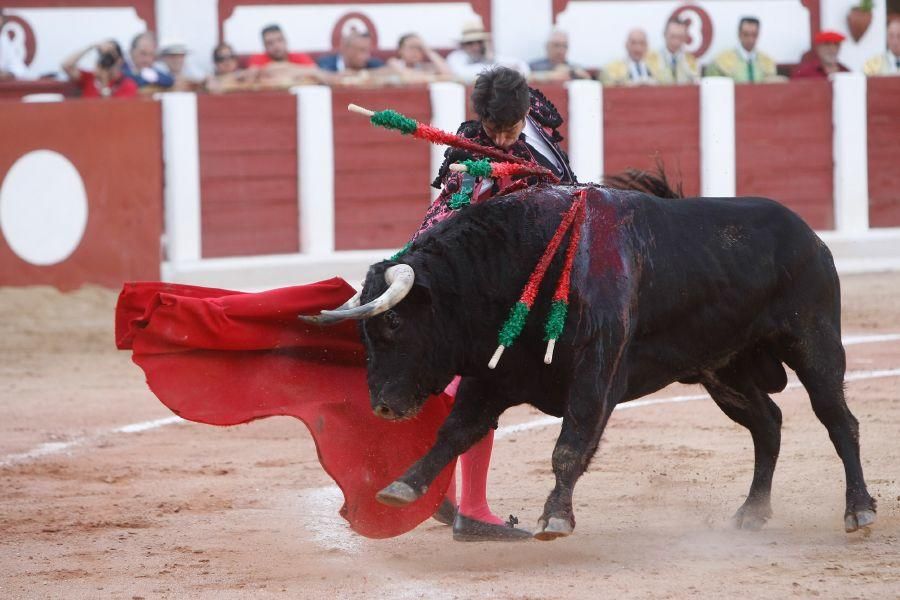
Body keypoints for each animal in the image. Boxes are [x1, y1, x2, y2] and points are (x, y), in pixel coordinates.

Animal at [308, 182, 872, 540]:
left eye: (393, 325)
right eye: (363, 331)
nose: (382, 406)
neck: (522, 261)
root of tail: (809, 235)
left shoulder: (595, 372)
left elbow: (569, 445)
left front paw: (555, 518)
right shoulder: (493, 376)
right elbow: (454, 432)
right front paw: (402, 487)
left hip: (814, 341)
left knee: (838, 420)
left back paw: (859, 510)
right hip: (723, 368)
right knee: (768, 423)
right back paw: (751, 513)